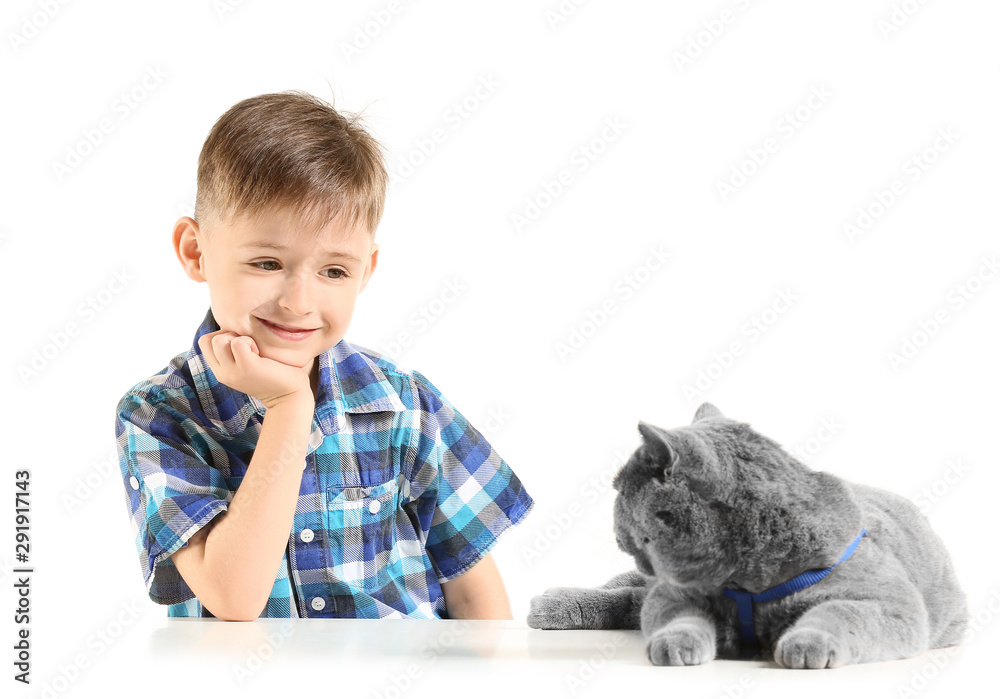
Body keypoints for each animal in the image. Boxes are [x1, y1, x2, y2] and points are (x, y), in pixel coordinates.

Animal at [528, 404, 964, 668]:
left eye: (618, 489)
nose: (613, 513)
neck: (743, 580)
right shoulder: (674, 594)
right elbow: (678, 617)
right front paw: (677, 645)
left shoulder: (890, 602)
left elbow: (841, 612)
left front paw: (808, 644)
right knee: (626, 591)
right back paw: (552, 603)